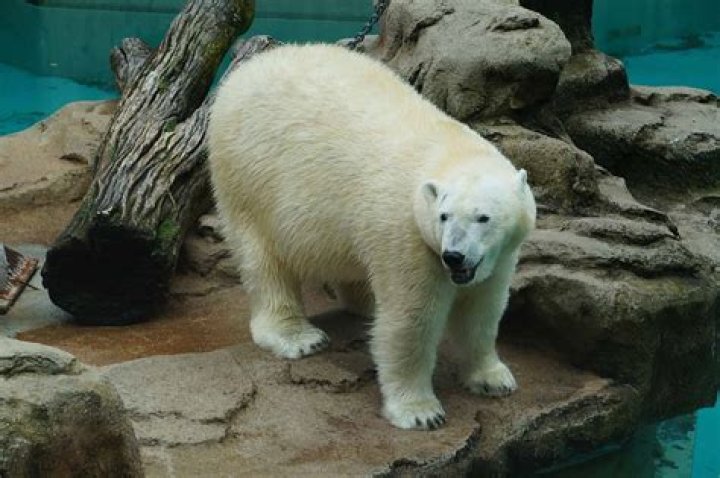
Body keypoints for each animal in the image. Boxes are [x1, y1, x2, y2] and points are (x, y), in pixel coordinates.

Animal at [208, 44, 536, 430]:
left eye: (483, 217)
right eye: (444, 216)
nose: (453, 256)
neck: (448, 149)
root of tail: (246, 71)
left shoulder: (499, 255)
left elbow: (483, 310)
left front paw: (493, 378)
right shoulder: (408, 234)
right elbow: (411, 320)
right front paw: (420, 412)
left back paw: (364, 303)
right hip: (248, 175)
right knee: (264, 259)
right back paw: (298, 337)